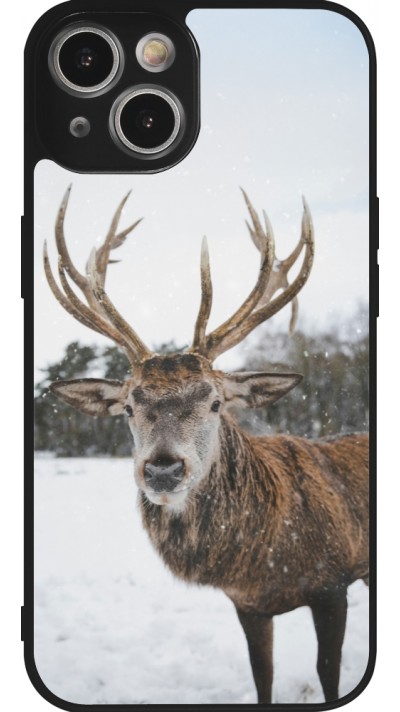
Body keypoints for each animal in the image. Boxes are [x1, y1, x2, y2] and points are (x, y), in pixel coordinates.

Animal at [43, 187, 369, 704]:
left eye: (215, 402)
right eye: (129, 407)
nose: (163, 469)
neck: (266, 558)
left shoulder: (334, 582)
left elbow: (328, 673)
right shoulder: (248, 604)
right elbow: (262, 676)